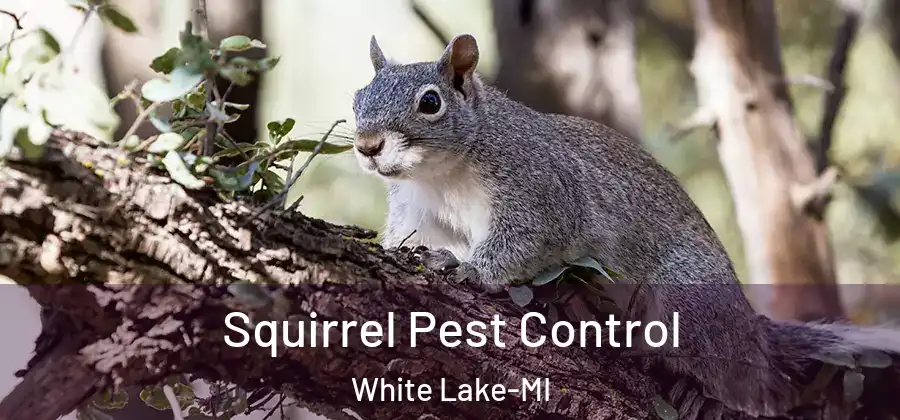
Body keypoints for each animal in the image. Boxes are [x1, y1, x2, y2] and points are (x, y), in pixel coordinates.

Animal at [351, 34, 900, 418]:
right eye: (358, 97)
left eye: (430, 103)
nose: (366, 145)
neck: (442, 173)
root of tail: (749, 330)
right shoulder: (418, 210)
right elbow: (410, 238)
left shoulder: (543, 190)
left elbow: (525, 241)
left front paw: (468, 269)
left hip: (688, 301)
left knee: (748, 384)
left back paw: (704, 393)